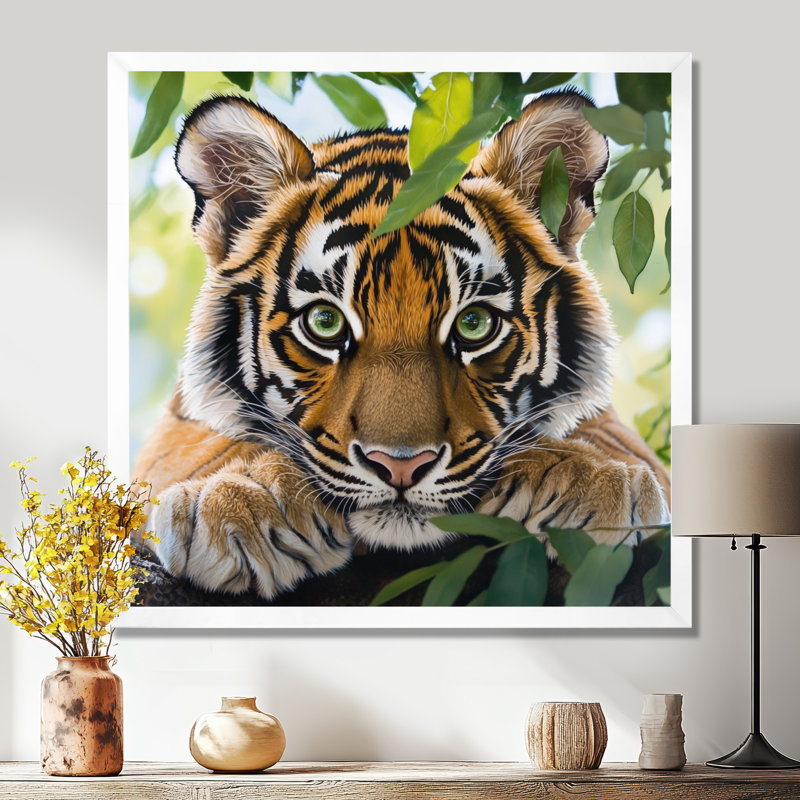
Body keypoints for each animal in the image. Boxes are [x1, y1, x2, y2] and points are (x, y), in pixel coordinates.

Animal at [134, 88, 670, 601]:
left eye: (474, 324)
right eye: (325, 322)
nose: (401, 467)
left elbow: (614, 440)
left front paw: (594, 478)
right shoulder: (179, 421)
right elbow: (200, 445)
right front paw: (245, 496)